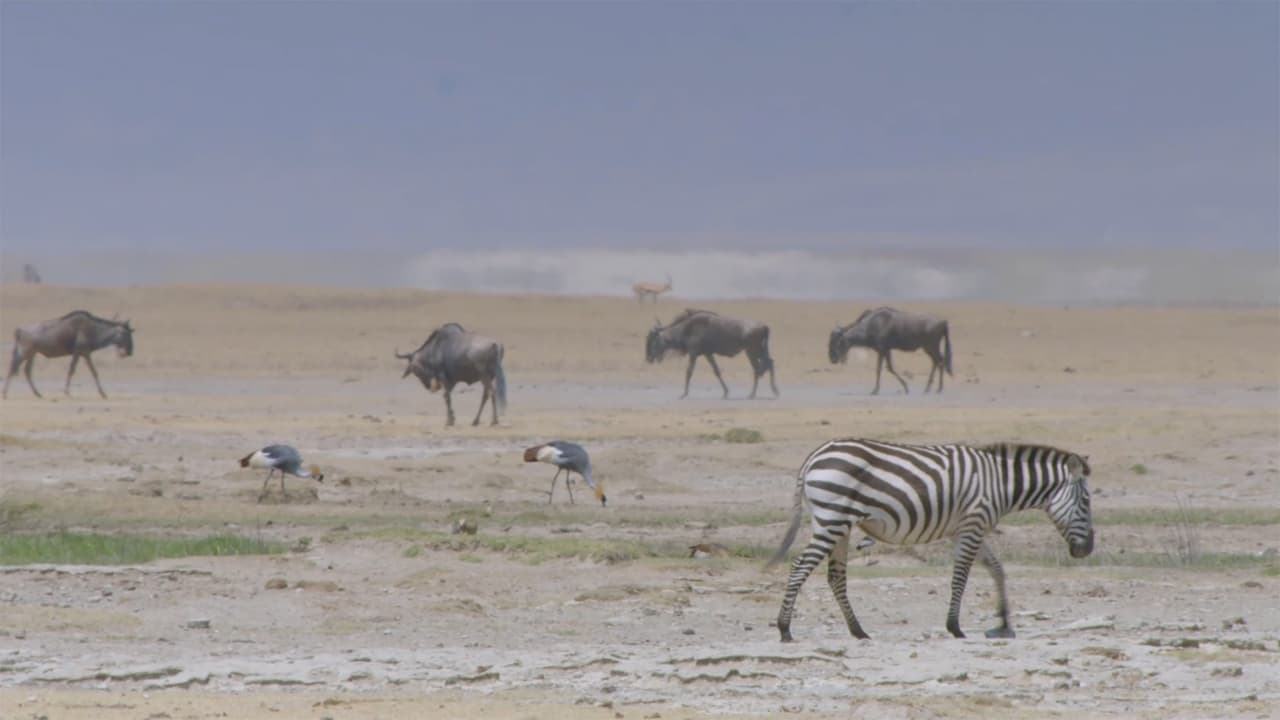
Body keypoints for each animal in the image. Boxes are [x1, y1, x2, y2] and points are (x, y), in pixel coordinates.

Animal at [3, 308, 135, 397]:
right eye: (126, 333)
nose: (130, 352)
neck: (93, 329)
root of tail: (19, 330)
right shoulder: (78, 352)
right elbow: (72, 370)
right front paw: (67, 392)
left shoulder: (85, 354)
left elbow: (94, 371)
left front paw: (102, 393)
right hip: (24, 352)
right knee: (12, 367)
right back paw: (5, 393)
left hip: (32, 354)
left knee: (27, 371)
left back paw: (37, 393)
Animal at [762, 438, 1095, 638]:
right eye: (1086, 502)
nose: (1088, 549)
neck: (1000, 483)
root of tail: (813, 457)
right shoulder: (973, 523)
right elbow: (961, 576)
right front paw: (955, 627)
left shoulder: (966, 528)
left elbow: (997, 570)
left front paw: (1003, 623)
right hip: (832, 519)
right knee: (800, 566)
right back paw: (785, 629)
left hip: (839, 525)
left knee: (835, 576)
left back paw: (858, 631)